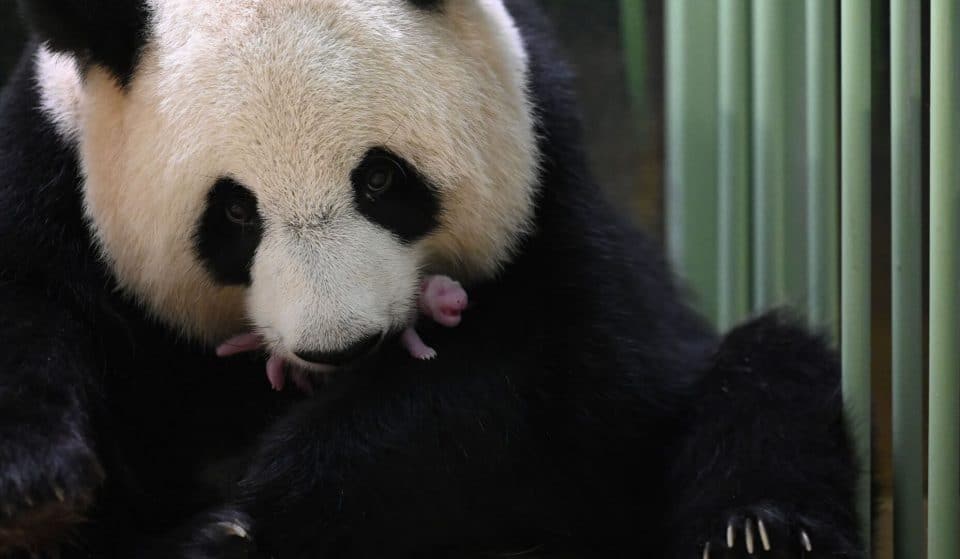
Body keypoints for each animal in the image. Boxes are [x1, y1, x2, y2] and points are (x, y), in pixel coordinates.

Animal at [0, 0, 864, 557]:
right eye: (235, 212)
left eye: (381, 178)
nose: (341, 347)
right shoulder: (54, 173)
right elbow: (30, 313)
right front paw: (42, 497)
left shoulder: (547, 184)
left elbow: (538, 382)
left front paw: (261, 503)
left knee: (769, 377)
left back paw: (757, 531)